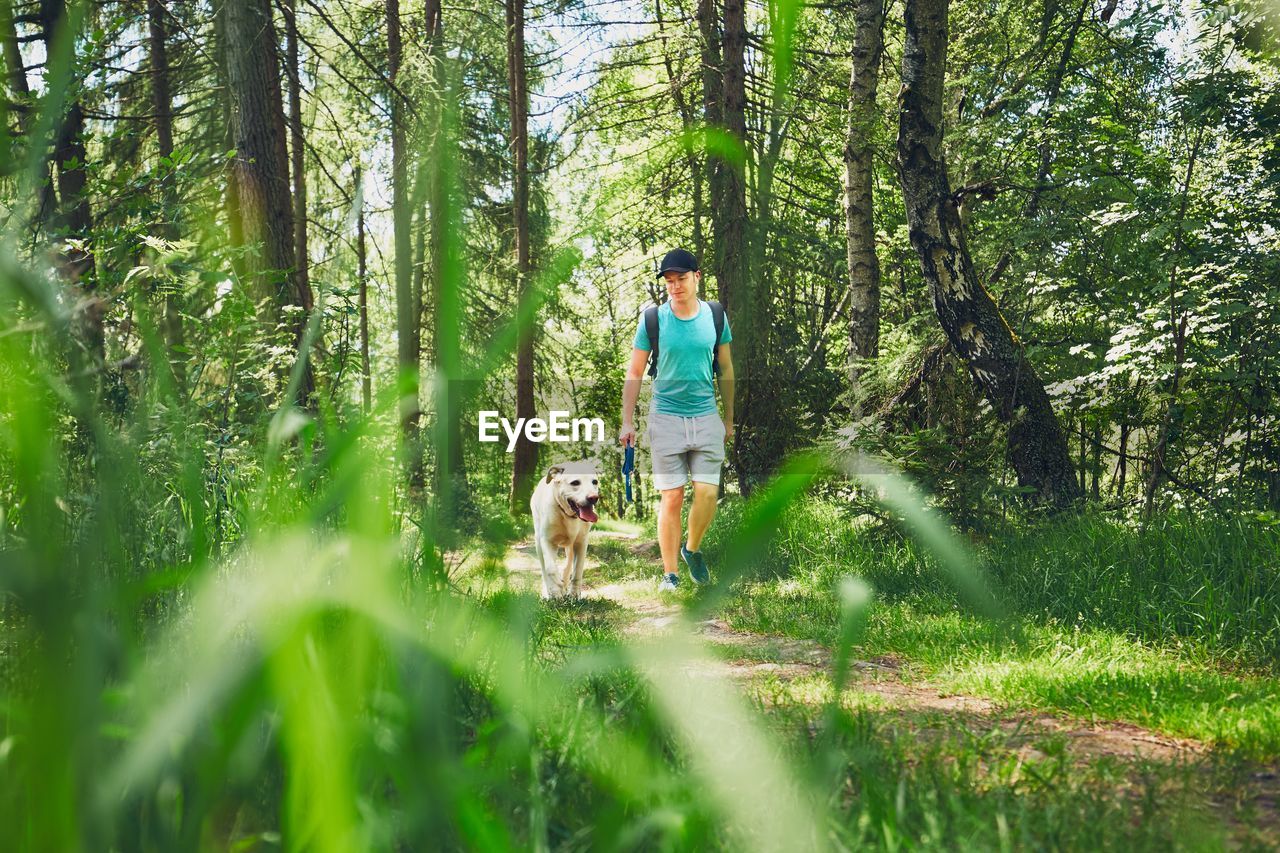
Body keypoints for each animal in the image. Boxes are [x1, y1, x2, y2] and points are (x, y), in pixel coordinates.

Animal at [535, 458, 604, 596]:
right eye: (575, 482)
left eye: (595, 482)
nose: (594, 498)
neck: (568, 516)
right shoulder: (547, 540)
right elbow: (550, 568)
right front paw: (555, 590)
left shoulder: (581, 542)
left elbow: (578, 570)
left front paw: (574, 594)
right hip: (538, 542)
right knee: (544, 568)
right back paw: (549, 590)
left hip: (570, 546)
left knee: (568, 564)